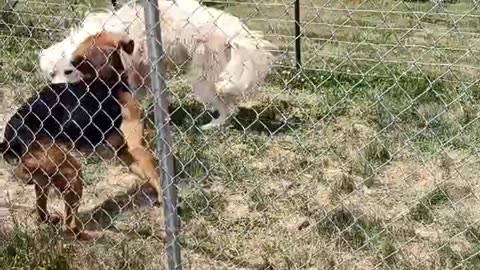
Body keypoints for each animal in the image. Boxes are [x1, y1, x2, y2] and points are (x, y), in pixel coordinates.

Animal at [0, 31, 162, 238]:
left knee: (41, 211)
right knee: (69, 226)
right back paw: (88, 235)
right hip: (71, 172)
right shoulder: (136, 146)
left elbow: (147, 175)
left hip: (44, 177)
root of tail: (10, 140)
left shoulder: (125, 153)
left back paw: (49, 217)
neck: (107, 81)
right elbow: (157, 176)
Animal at [39, 0, 276, 129]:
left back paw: (213, 125)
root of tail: (232, 32)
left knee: (227, 109)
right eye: (52, 73)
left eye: (68, 71)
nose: (56, 90)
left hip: (202, 80)